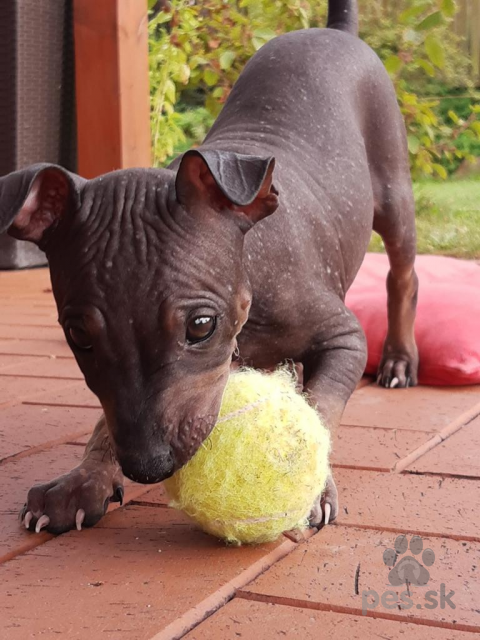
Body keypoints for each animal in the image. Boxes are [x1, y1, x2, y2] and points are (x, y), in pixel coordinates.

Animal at [0, 1, 416, 536]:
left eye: (201, 326)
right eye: (78, 336)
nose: (148, 467)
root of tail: (333, 30)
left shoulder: (346, 337)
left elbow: (320, 407)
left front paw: (314, 482)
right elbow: (104, 419)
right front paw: (81, 480)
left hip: (393, 188)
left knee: (403, 275)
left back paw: (399, 360)